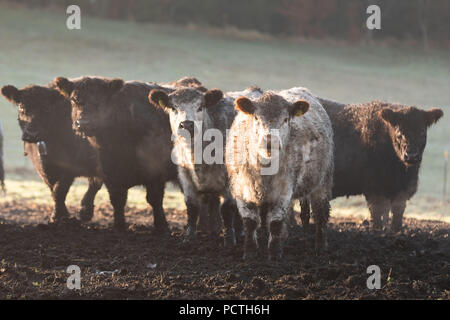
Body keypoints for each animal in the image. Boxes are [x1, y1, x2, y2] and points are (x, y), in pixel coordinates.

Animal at [0, 82, 102, 222]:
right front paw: (60, 214)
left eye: (47, 108)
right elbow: (53, 189)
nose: (32, 134)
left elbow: (59, 190)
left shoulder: (69, 167)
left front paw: (58, 216)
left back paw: (85, 212)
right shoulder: (44, 168)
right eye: (21, 106)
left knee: (95, 183)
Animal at [53, 77, 177, 232]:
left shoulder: (155, 172)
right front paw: (119, 225)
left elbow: (155, 199)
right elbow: (118, 200)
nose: (83, 123)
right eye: (74, 99)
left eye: (101, 100)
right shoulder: (111, 174)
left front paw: (162, 225)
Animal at [225, 87, 334, 260]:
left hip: (323, 180)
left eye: (285, 119)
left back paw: (320, 246)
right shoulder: (241, 188)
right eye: (256, 117)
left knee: (321, 213)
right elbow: (250, 221)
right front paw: (250, 252)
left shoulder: (284, 189)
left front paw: (275, 253)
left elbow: (275, 222)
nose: (270, 141)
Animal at [300, 99, 444, 231]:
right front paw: (378, 230)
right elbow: (377, 215)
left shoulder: (402, 190)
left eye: (422, 133)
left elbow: (397, 215)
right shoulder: (374, 189)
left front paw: (395, 231)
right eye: (399, 134)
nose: (412, 156)